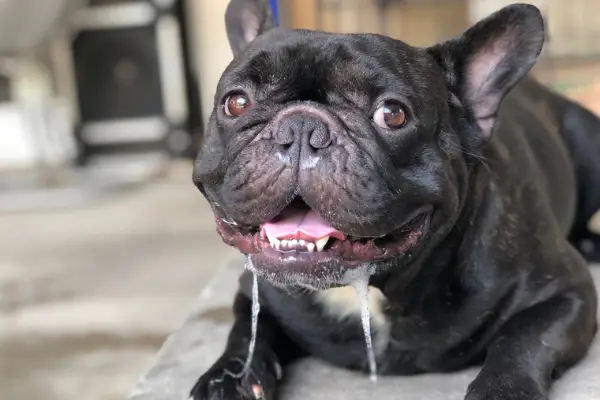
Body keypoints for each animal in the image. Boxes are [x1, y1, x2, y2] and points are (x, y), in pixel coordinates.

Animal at [191, 1, 600, 398]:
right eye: (237, 103)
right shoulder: (255, 291)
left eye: (393, 114)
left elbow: (523, 340)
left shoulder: (566, 293)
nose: (302, 126)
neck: (365, 290)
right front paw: (227, 378)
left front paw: (501, 390)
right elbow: (246, 333)